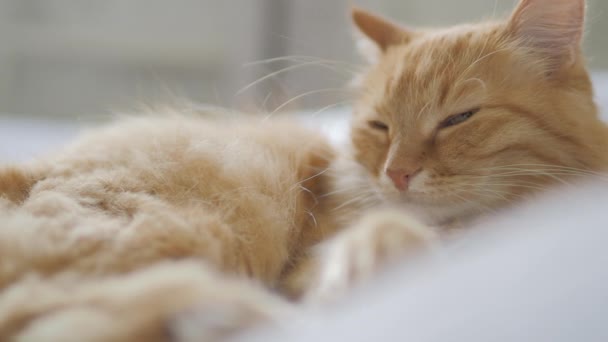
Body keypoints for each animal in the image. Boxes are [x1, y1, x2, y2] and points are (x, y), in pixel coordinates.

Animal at [1, 0, 608, 340]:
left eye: (459, 118)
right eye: (380, 126)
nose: (397, 174)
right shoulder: (309, 269)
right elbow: (380, 246)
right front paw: (379, 251)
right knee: (51, 315)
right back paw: (226, 314)